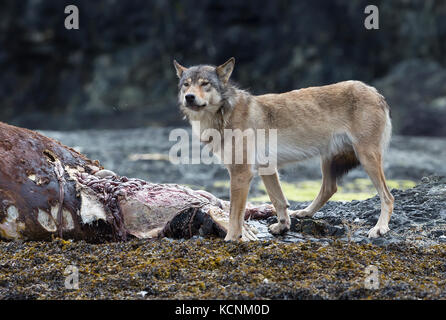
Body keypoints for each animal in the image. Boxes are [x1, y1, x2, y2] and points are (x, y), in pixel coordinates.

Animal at [174, 57, 394, 241]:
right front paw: (283, 227)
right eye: (186, 84)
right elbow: (279, 201)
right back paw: (305, 213)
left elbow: (235, 215)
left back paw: (380, 228)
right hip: (328, 160)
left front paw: (231, 239)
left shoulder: (241, 173)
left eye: (205, 83)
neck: (223, 114)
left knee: (387, 196)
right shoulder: (267, 169)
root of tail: (376, 92)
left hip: (366, 158)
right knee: (329, 189)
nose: (189, 97)